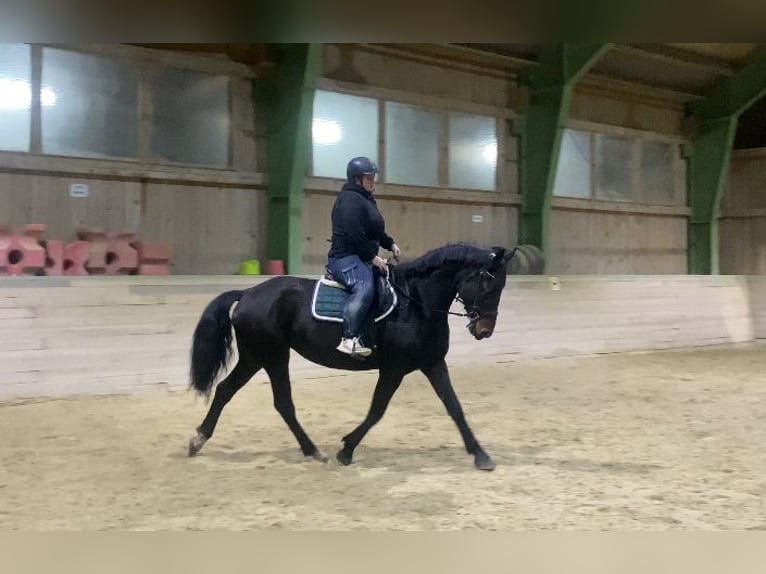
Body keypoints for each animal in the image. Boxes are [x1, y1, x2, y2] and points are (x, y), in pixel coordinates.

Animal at [188, 243, 540, 472]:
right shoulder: (394, 369)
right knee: (276, 402)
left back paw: (202, 440)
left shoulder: (432, 364)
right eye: (489, 283)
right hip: (270, 356)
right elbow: (377, 411)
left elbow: (455, 408)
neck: (416, 303)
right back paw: (311, 451)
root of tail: (247, 293)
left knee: (231, 392)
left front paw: (481, 455)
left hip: (258, 356)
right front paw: (346, 449)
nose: (484, 330)